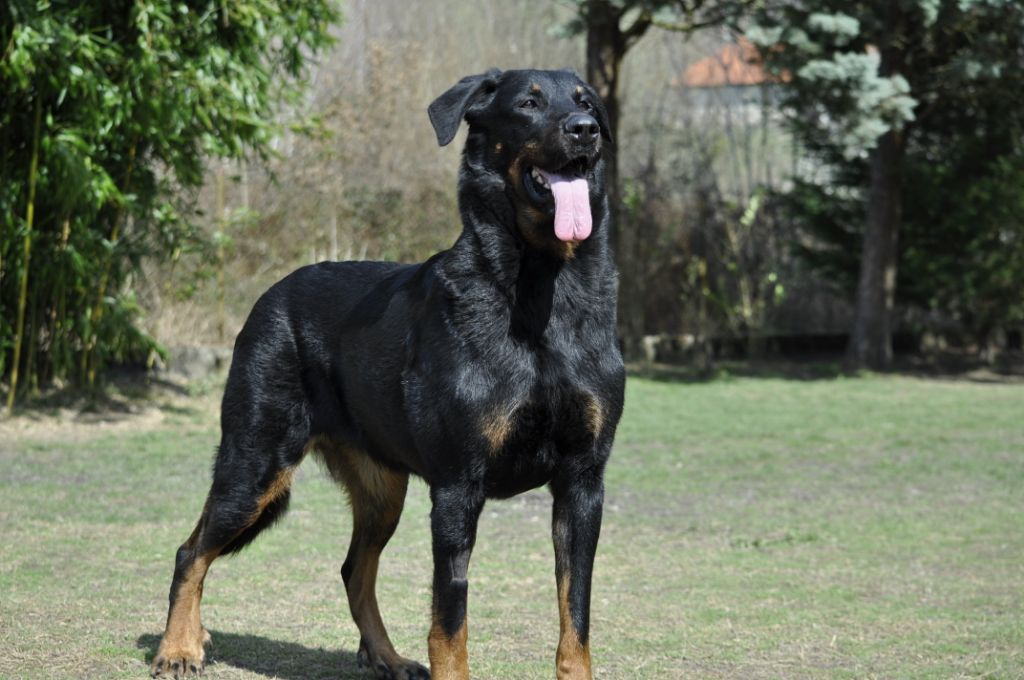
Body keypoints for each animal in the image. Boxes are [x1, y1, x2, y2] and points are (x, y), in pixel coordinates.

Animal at [150, 69, 622, 680]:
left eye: (587, 102)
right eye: (528, 103)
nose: (584, 129)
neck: (541, 288)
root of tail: (270, 294)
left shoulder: (583, 482)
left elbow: (575, 614)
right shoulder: (458, 488)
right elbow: (450, 622)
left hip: (380, 489)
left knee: (355, 568)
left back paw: (385, 655)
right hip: (255, 464)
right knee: (194, 550)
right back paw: (178, 646)